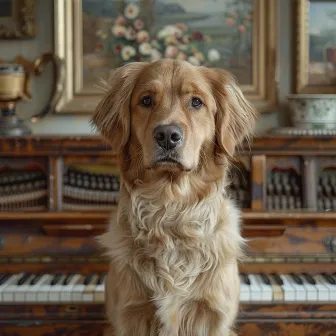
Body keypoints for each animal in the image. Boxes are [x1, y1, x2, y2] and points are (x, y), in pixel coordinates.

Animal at [90, 59, 256, 334]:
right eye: (146, 100)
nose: (167, 135)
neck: (171, 208)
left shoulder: (214, 317)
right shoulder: (128, 315)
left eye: (196, 102)